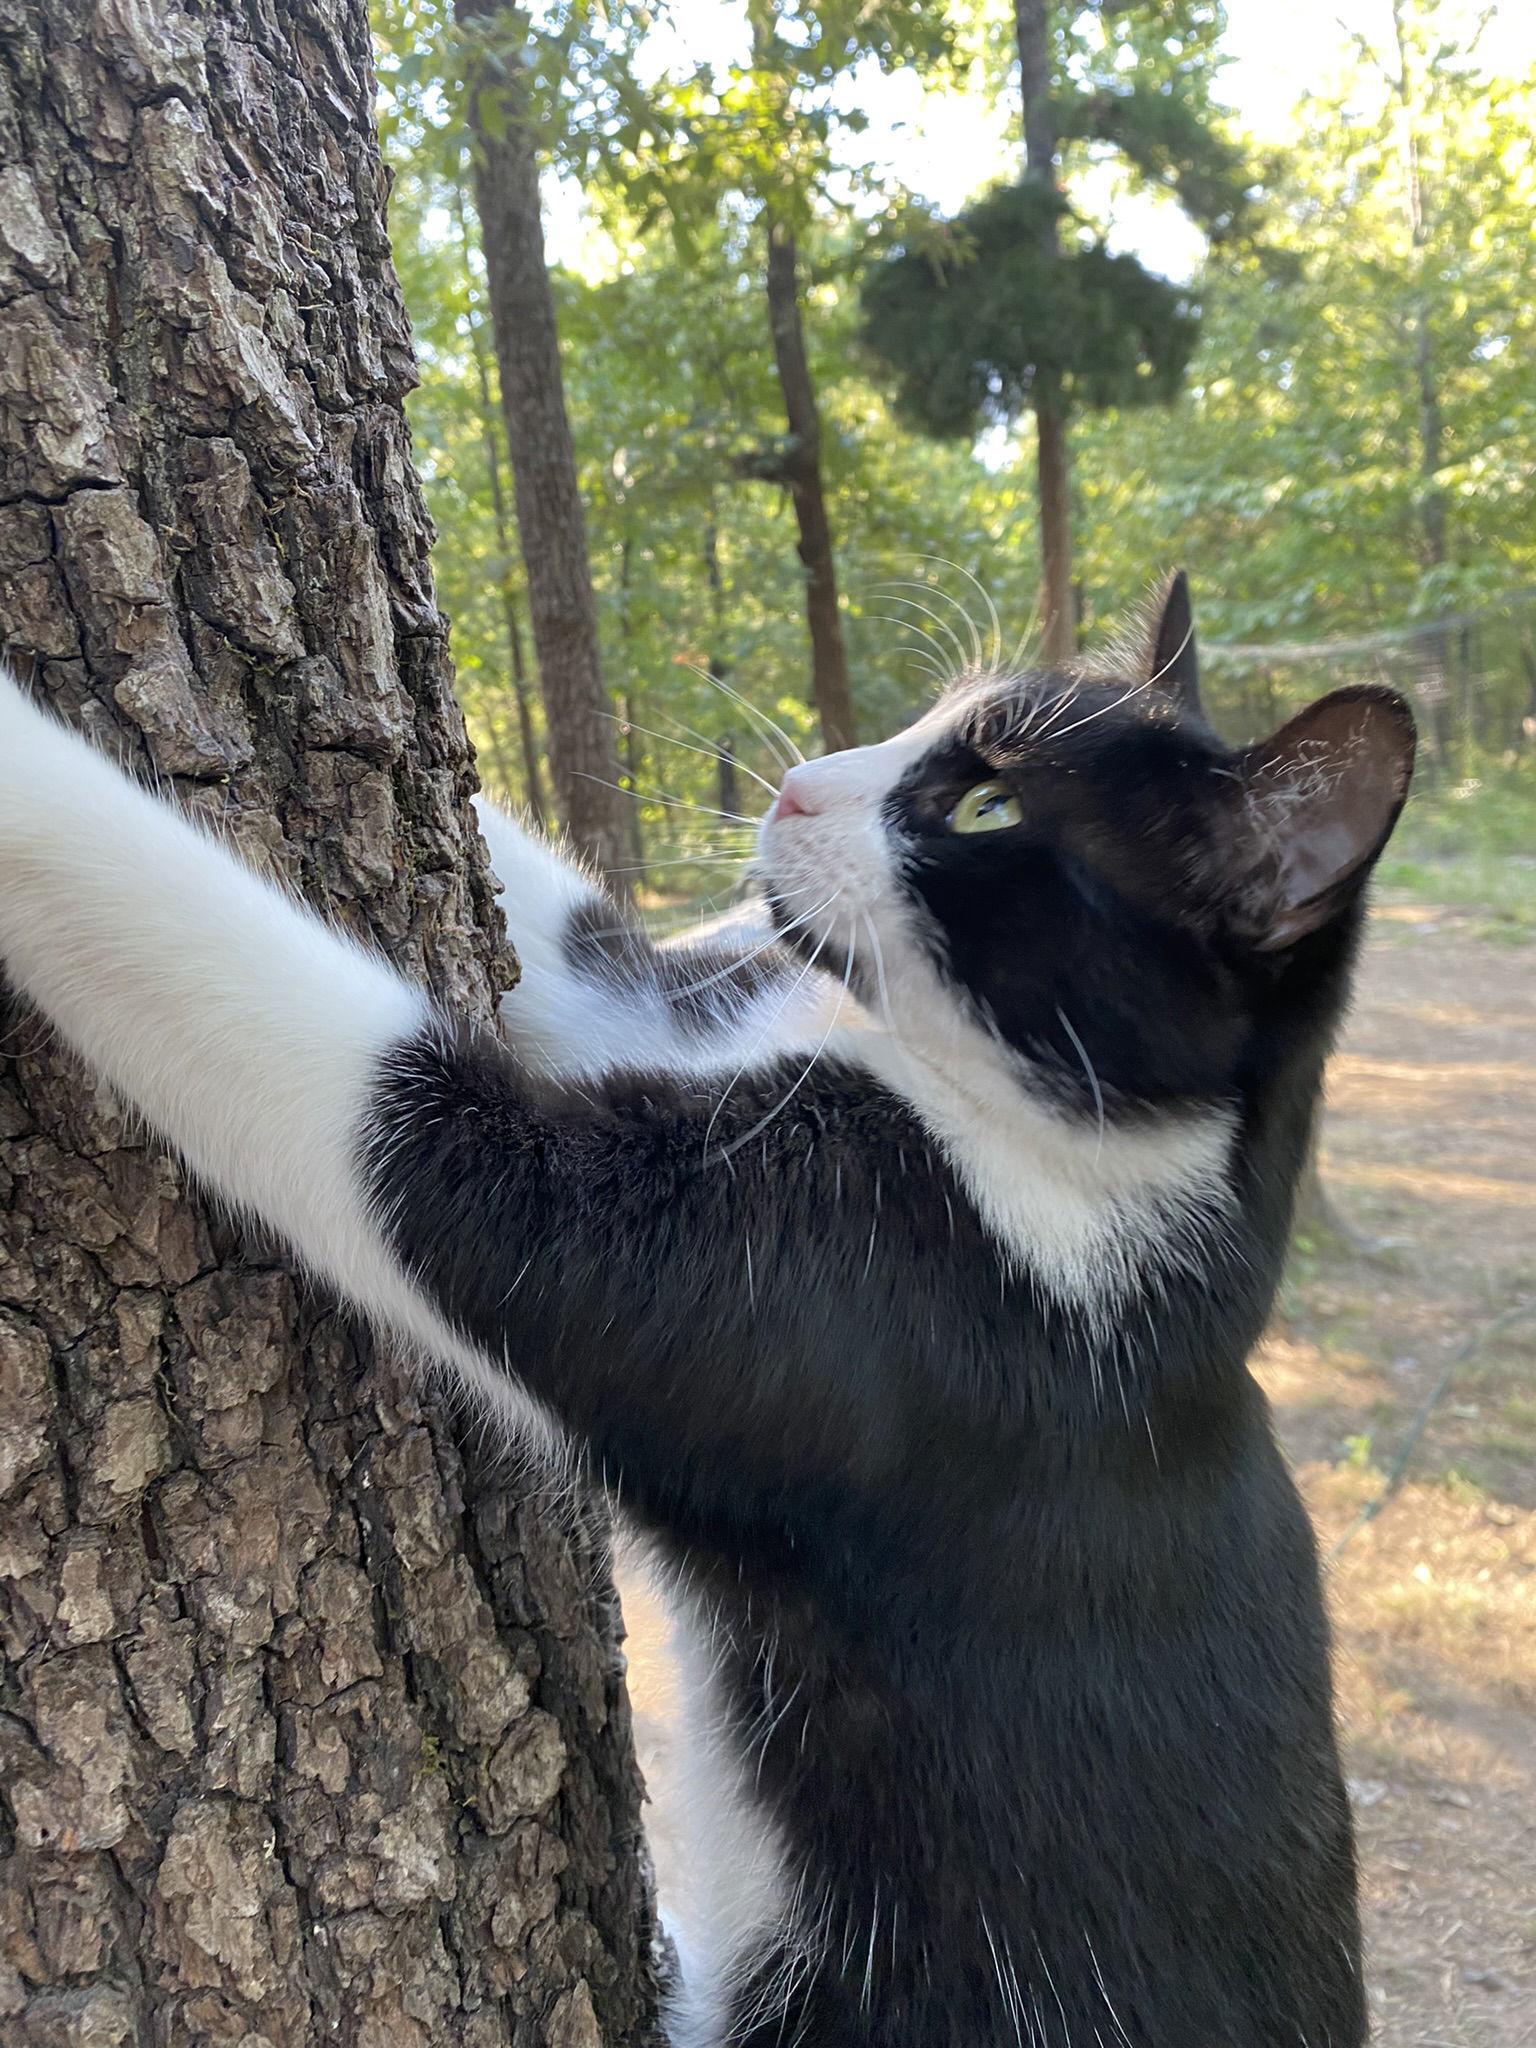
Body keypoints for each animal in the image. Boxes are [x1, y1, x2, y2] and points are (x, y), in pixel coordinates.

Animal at [0, 581, 1417, 2048]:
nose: (798, 784)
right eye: (924, 719)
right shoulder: (707, 1024)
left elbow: (403, 1129)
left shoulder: (880, 1292)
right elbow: (589, 951)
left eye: (988, 805)